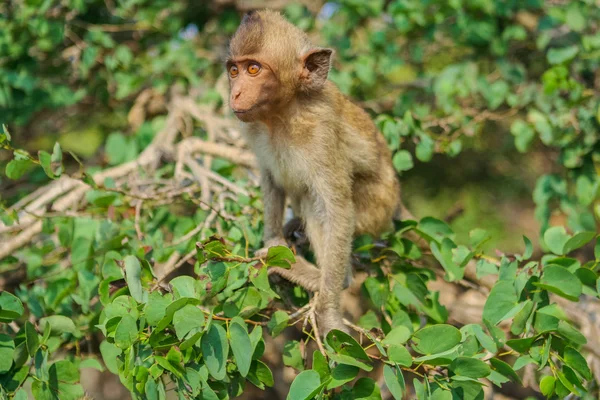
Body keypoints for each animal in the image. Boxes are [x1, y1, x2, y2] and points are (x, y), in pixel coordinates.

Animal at [227, 10, 406, 334]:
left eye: (254, 69)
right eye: (234, 70)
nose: (235, 93)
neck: (283, 114)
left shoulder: (321, 133)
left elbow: (336, 210)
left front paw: (329, 311)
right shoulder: (254, 129)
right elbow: (271, 179)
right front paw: (274, 243)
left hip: (375, 210)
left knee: (318, 203)